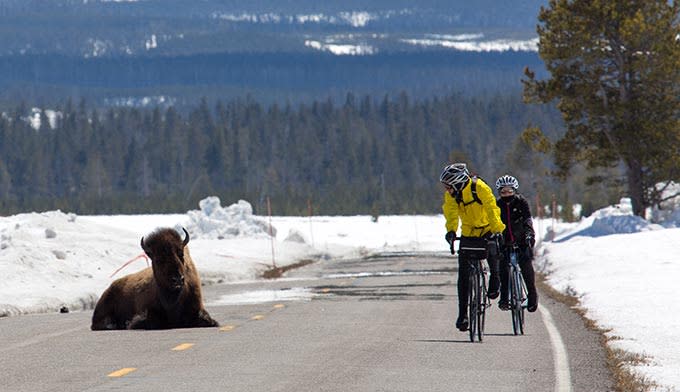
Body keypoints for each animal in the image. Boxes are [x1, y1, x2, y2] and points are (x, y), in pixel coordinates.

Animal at [90, 227, 218, 330]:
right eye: (158, 259)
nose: (177, 279)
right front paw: (129, 323)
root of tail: (111, 286)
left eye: (181, 254)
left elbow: (210, 321)